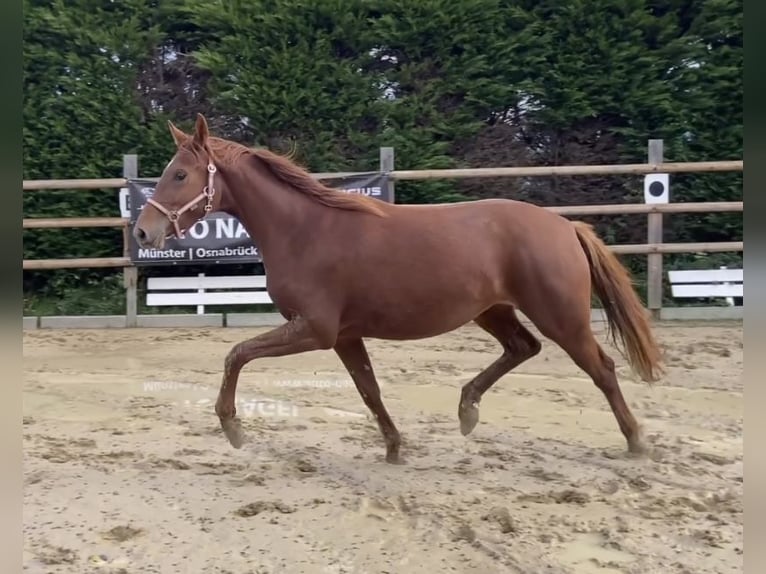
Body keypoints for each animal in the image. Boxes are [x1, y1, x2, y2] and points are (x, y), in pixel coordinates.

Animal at [136, 115, 664, 466]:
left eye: (179, 174)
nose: (143, 232)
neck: (305, 229)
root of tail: (565, 225)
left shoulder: (315, 330)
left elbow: (237, 354)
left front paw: (232, 427)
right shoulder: (344, 335)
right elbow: (369, 390)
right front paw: (394, 447)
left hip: (560, 316)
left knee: (602, 368)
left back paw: (636, 441)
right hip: (492, 310)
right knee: (522, 347)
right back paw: (467, 410)